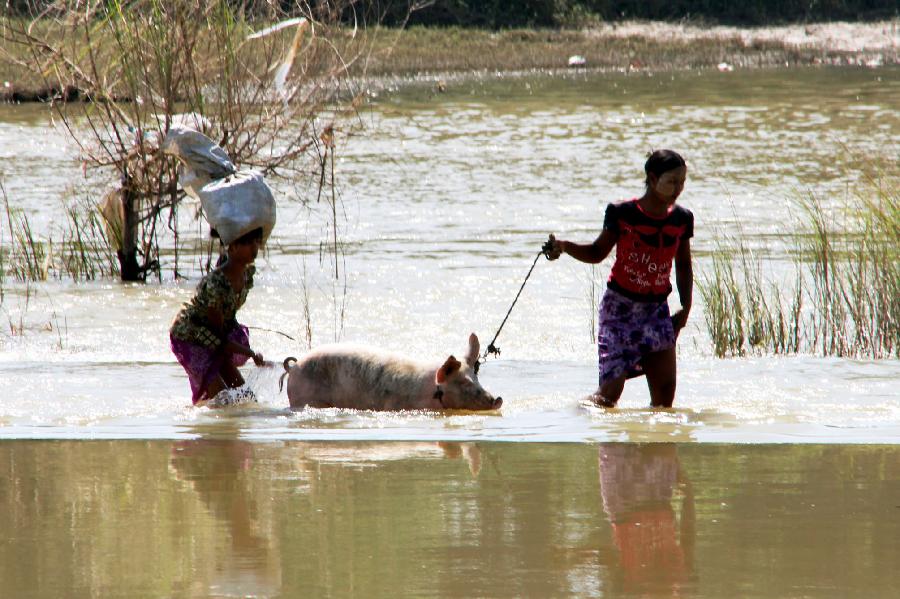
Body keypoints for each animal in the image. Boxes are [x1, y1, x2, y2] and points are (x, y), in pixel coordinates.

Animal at [282, 332, 502, 412]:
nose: (497, 399)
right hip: (306, 398)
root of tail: (294, 367)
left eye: (476, 377)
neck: (430, 390)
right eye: (464, 383)